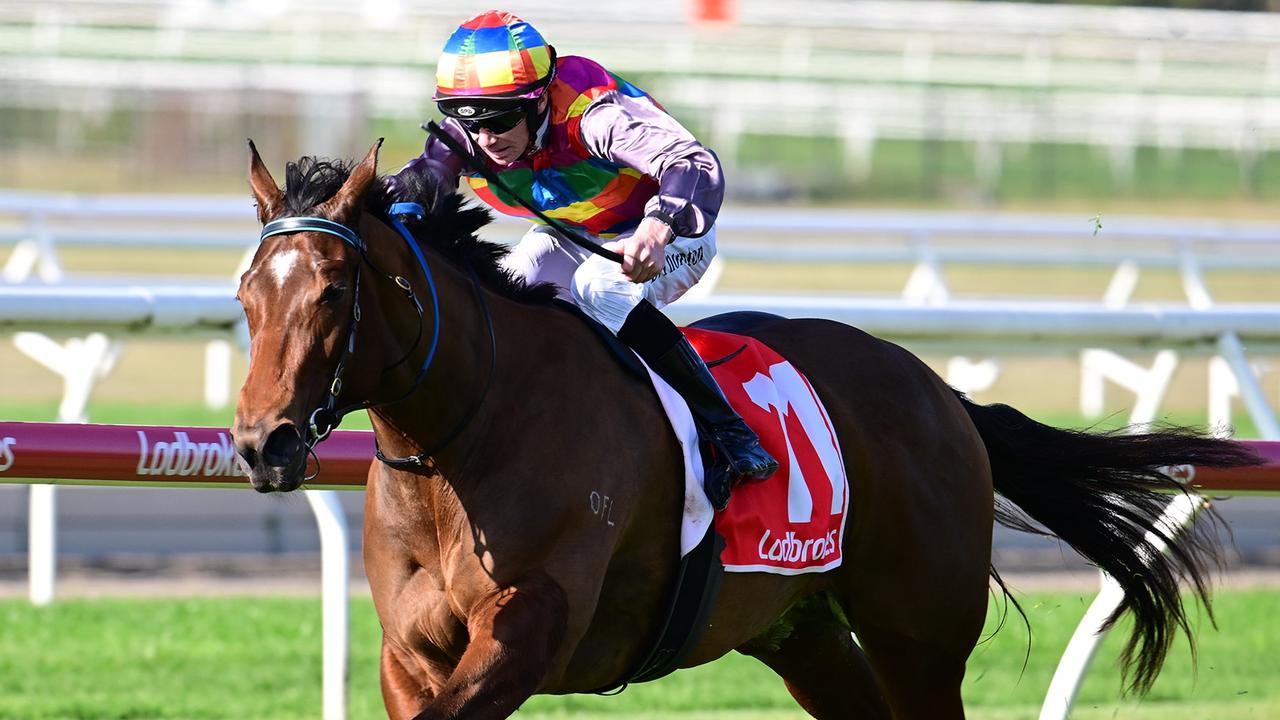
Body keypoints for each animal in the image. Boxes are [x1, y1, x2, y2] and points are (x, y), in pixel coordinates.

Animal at [230, 137, 1259, 712]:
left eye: (331, 290)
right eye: (245, 292)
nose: (260, 442)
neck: (464, 438)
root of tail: (939, 394)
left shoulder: (529, 628)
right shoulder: (412, 658)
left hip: (920, 635)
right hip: (800, 628)